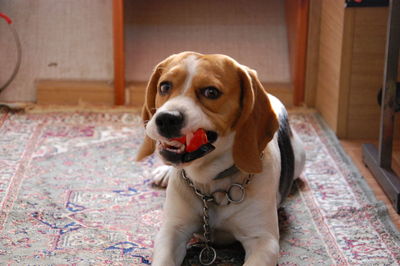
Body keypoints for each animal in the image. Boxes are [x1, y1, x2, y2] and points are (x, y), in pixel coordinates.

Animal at [136, 52, 304, 266]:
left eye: (211, 92)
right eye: (164, 86)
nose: (166, 118)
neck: (210, 184)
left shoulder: (264, 241)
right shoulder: (172, 231)